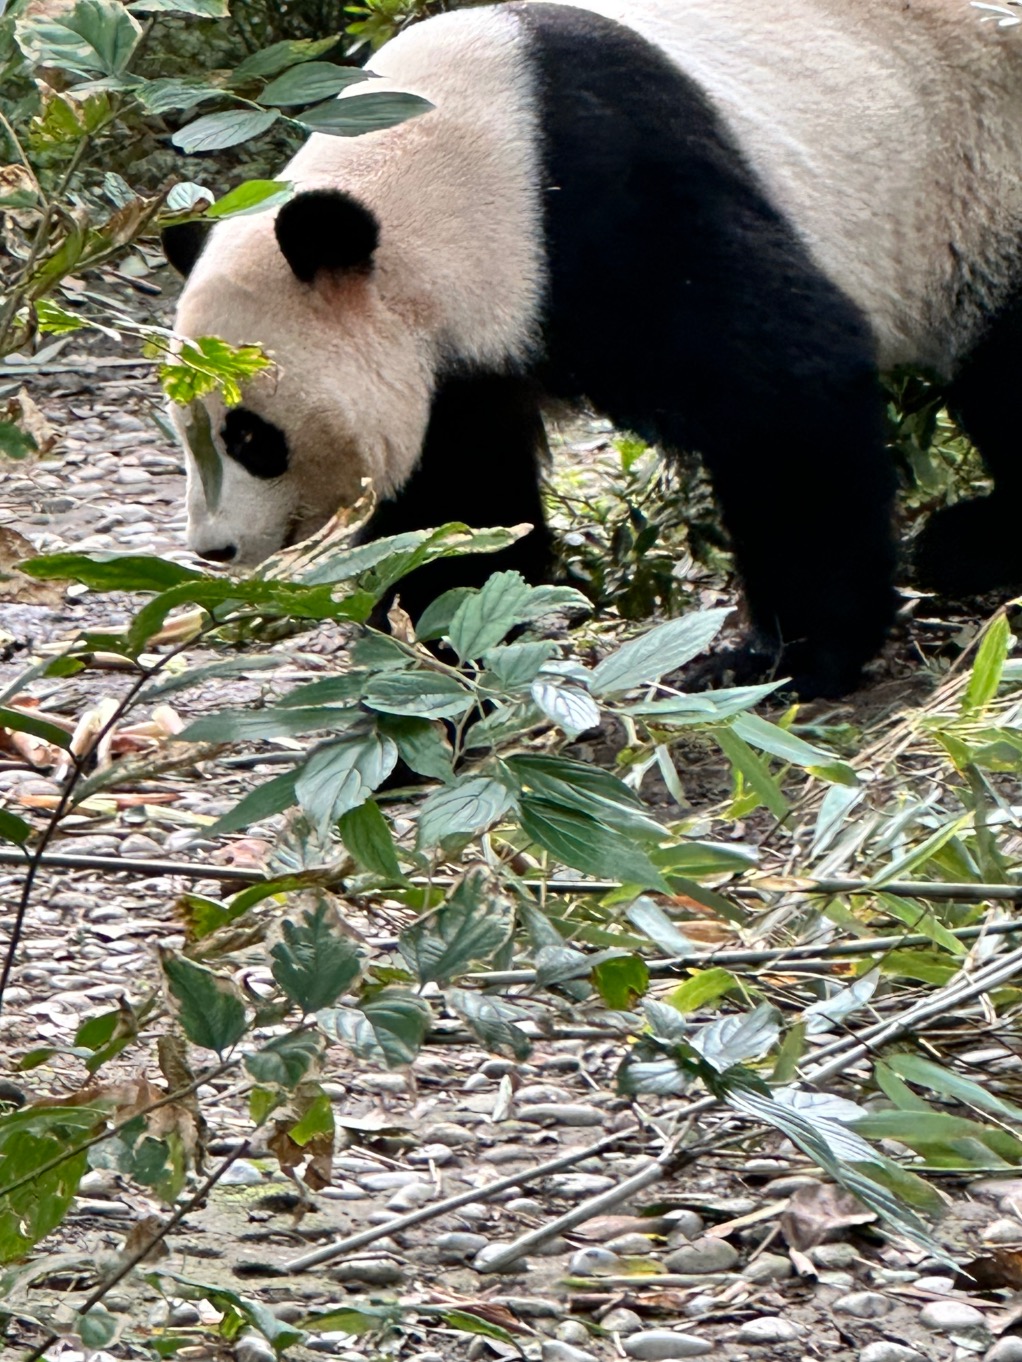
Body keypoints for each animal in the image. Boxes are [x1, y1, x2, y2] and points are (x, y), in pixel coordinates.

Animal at [163, 0, 1022, 698]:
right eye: (188, 435)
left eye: (252, 437)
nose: (215, 548)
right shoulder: (460, 364)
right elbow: (462, 511)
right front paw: (439, 691)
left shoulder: (605, 203)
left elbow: (781, 390)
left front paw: (783, 658)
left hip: (983, 172)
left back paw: (971, 544)